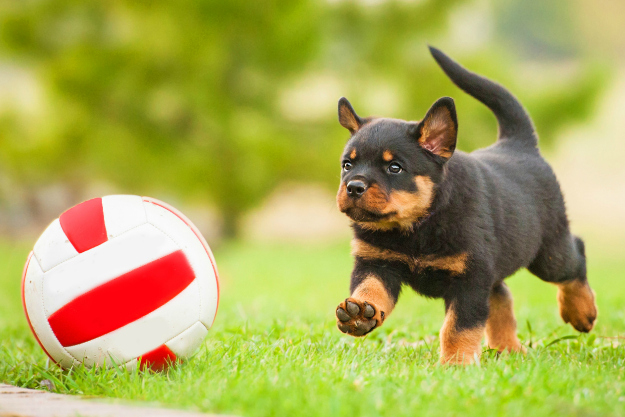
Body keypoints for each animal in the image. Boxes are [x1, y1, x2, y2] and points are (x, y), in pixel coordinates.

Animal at [334, 46, 596, 364]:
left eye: (394, 168)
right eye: (347, 165)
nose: (353, 186)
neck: (417, 226)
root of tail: (518, 144)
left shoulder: (470, 278)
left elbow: (459, 325)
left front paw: (456, 362)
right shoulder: (376, 262)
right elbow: (370, 289)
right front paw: (359, 313)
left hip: (549, 253)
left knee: (575, 258)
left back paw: (581, 312)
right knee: (501, 294)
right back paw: (508, 346)